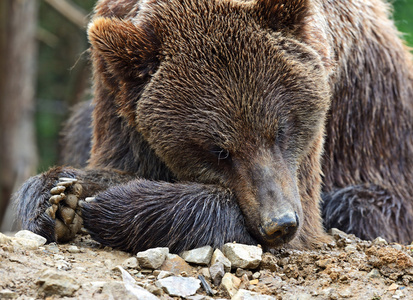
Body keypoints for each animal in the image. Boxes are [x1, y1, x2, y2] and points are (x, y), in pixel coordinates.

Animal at [13, 0, 412, 253]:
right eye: (219, 149)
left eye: (281, 129)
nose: (280, 222)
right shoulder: (118, 94)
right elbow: (112, 163)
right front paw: (57, 199)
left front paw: (111, 203)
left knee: (355, 205)